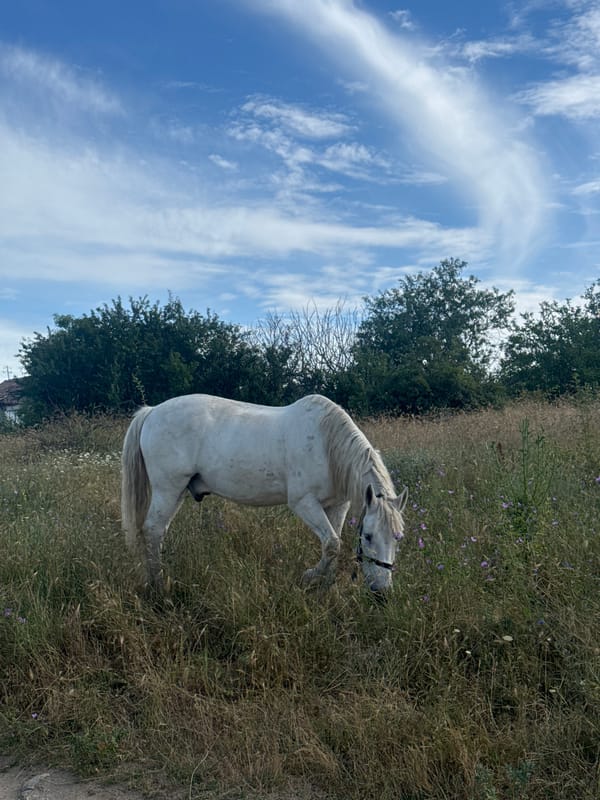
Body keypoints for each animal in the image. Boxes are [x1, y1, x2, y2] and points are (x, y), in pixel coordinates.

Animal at [121, 393, 408, 594]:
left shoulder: (337, 505)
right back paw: (159, 585)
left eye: (398, 538)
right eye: (368, 536)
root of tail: (152, 411)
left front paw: (326, 587)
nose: (382, 590)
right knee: (153, 530)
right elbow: (332, 544)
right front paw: (309, 577)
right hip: (167, 490)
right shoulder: (304, 503)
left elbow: (333, 544)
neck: (327, 445)